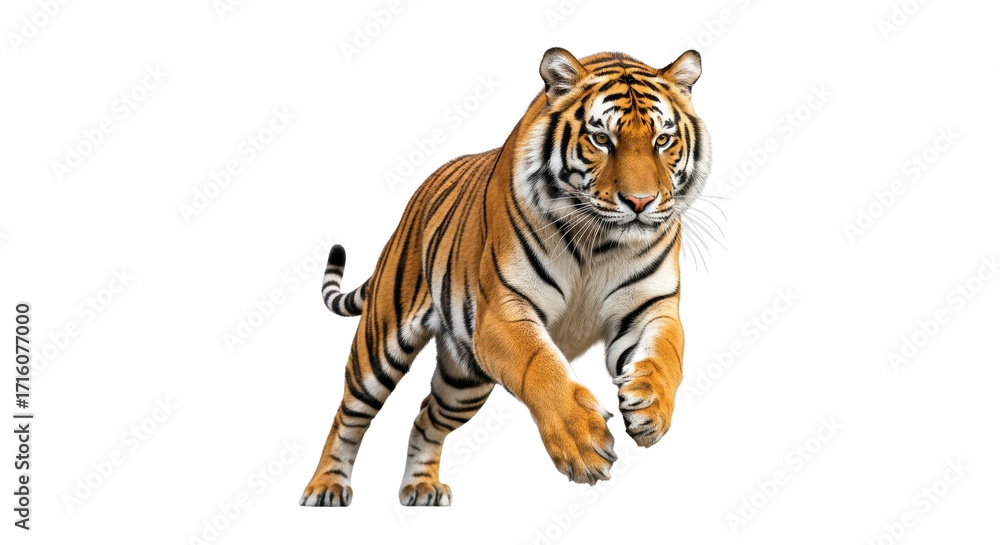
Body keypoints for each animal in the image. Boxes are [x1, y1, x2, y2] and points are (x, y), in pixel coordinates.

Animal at [300, 47, 710, 507]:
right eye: (602, 139)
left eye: (663, 141)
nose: (640, 202)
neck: (600, 243)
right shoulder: (504, 312)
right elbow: (541, 368)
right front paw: (582, 444)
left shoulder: (650, 308)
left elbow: (666, 356)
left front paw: (650, 408)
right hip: (380, 345)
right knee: (348, 415)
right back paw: (325, 487)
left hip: (464, 381)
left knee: (426, 416)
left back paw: (421, 487)